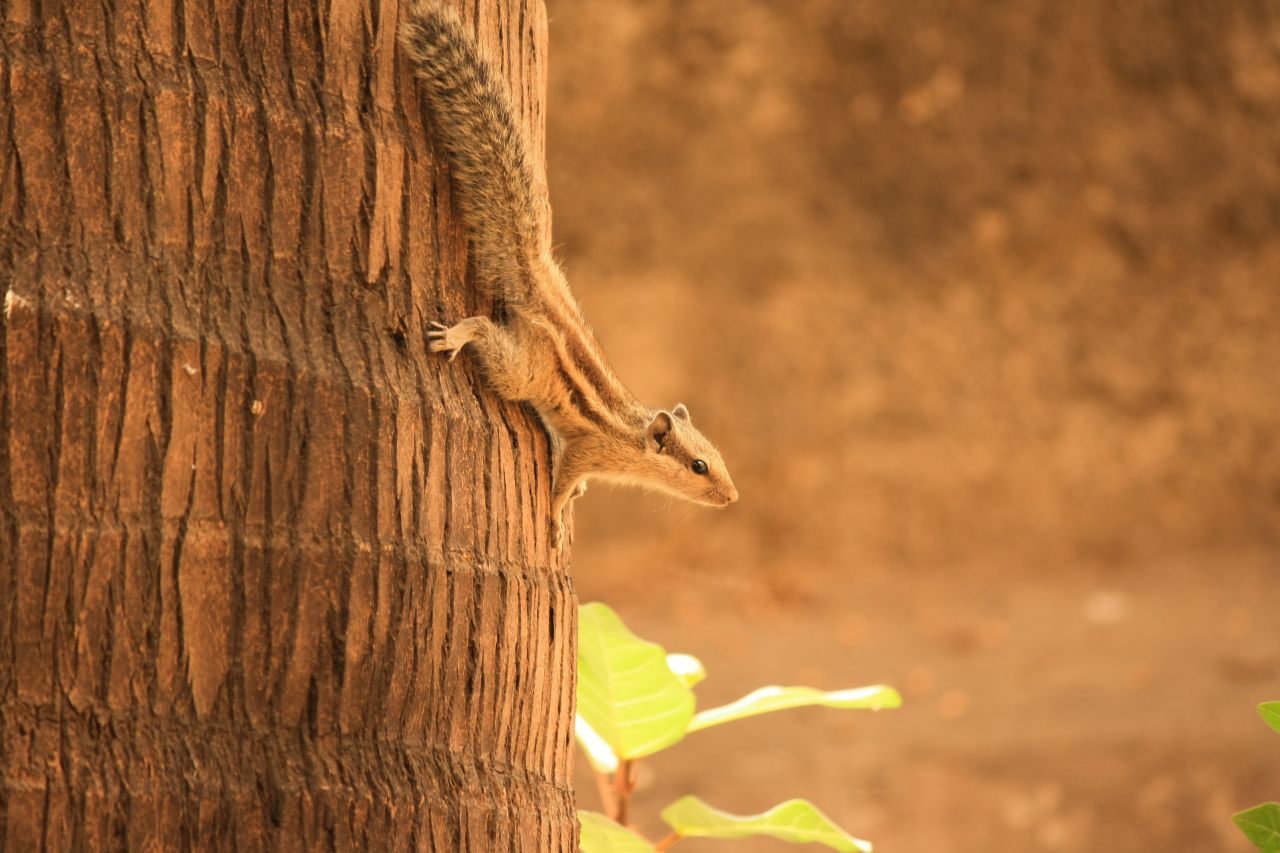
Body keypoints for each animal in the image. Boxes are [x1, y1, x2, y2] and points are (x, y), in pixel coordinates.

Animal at [399, 1, 742, 545]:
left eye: (718, 457)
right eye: (699, 466)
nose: (732, 497)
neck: (631, 437)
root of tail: (539, 280)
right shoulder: (588, 449)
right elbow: (563, 481)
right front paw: (559, 517)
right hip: (522, 369)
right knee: (485, 330)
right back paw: (454, 335)